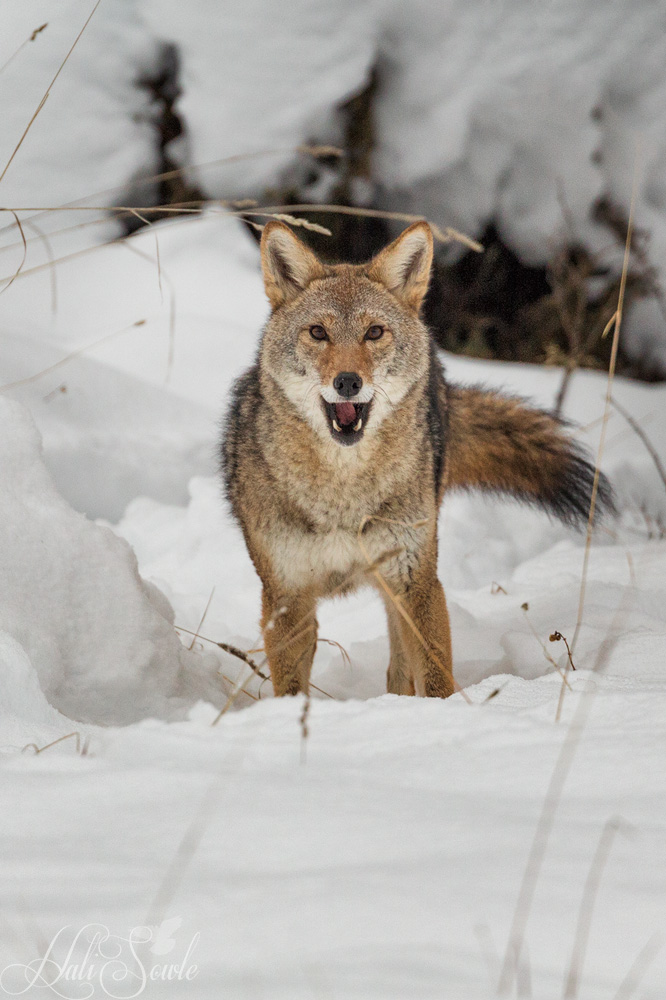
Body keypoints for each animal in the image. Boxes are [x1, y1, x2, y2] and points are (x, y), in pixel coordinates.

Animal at [221, 220, 613, 698]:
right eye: (317, 333)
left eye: (374, 332)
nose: (348, 382)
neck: (343, 496)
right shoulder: (286, 597)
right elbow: (293, 688)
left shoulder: (417, 580)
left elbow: (435, 673)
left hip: (397, 584)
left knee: (399, 665)